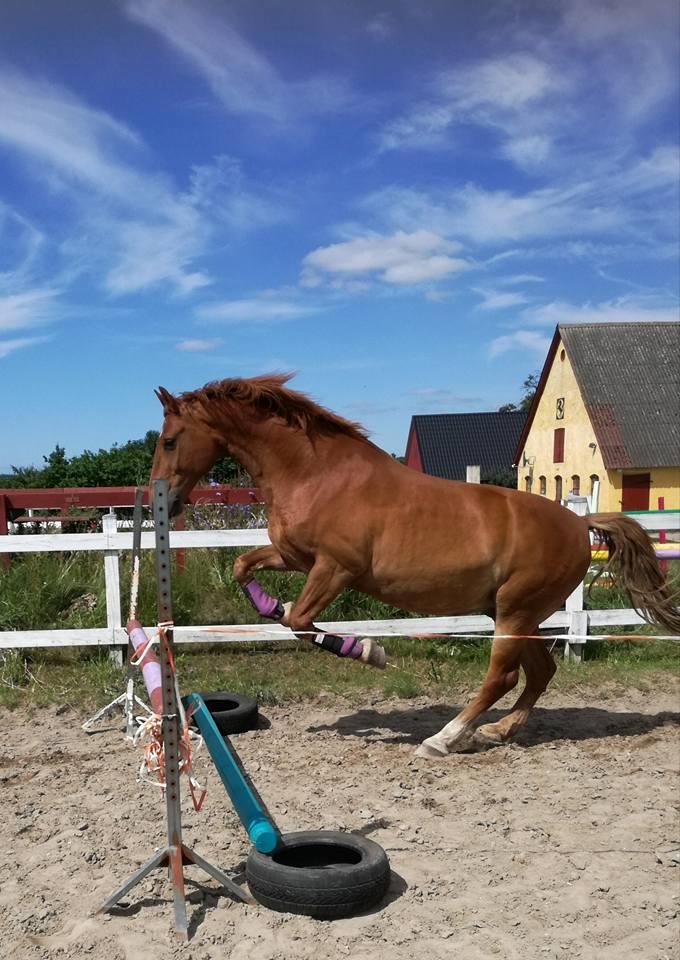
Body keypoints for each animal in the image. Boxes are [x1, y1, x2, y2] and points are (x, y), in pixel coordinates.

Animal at [150, 376, 680, 756]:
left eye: (170, 440)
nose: (165, 503)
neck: (315, 474)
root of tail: (579, 522)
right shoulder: (295, 558)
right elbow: (245, 569)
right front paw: (271, 606)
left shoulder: (334, 569)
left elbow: (300, 621)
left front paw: (368, 650)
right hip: (512, 613)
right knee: (539, 671)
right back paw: (497, 731)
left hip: (515, 611)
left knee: (503, 676)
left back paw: (445, 738)